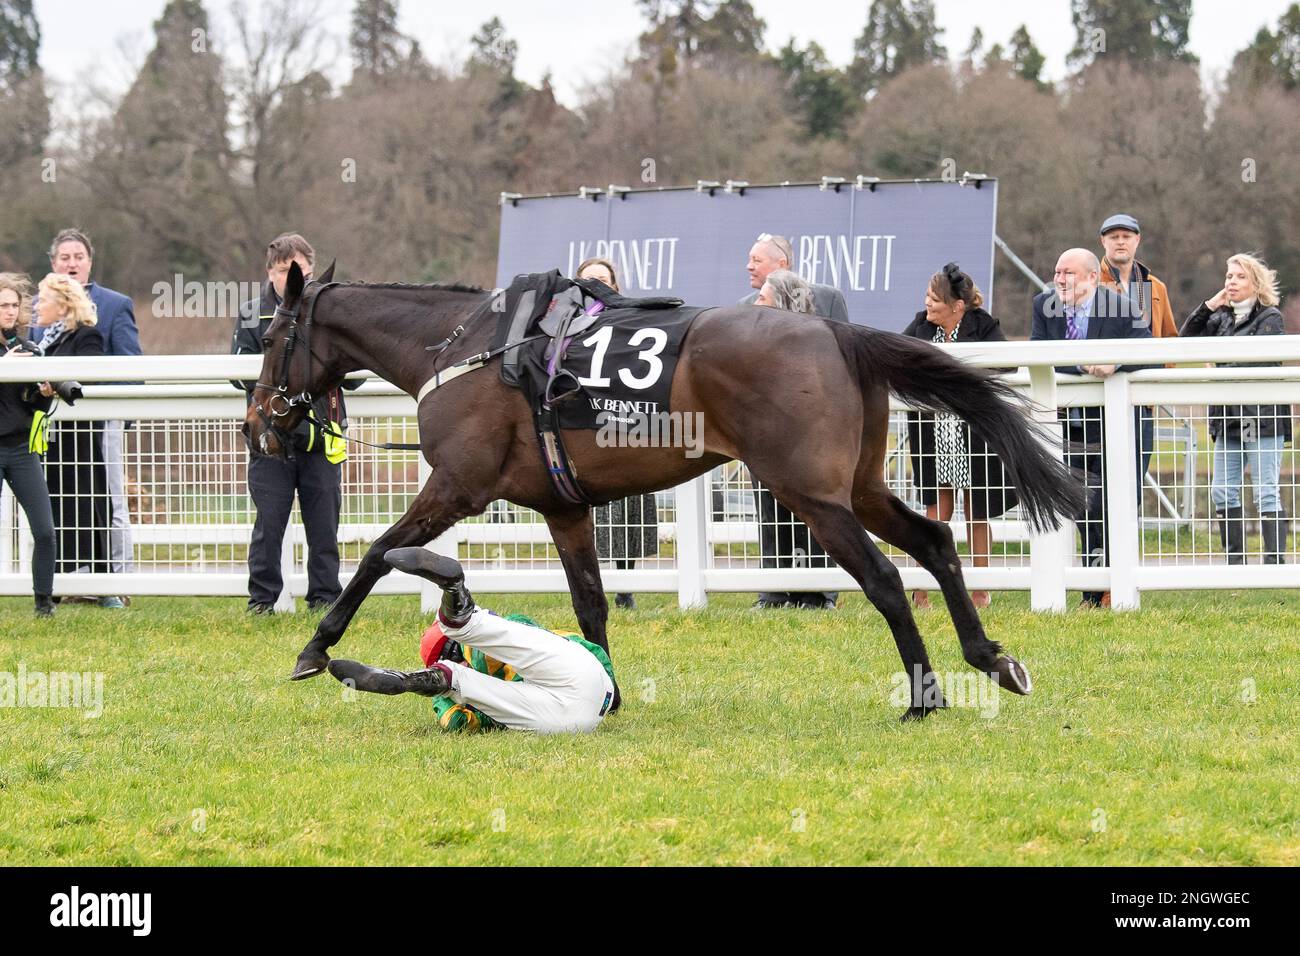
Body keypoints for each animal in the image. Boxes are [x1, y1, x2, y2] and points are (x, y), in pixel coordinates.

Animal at [248, 261, 1081, 717]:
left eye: (272, 336)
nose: (260, 420)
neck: (464, 348)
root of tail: (836, 333)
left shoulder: (456, 486)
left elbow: (376, 555)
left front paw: (315, 647)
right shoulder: (564, 508)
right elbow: (589, 602)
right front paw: (605, 690)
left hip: (810, 495)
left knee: (881, 576)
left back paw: (923, 695)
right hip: (859, 485)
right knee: (935, 541)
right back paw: (990, 659)